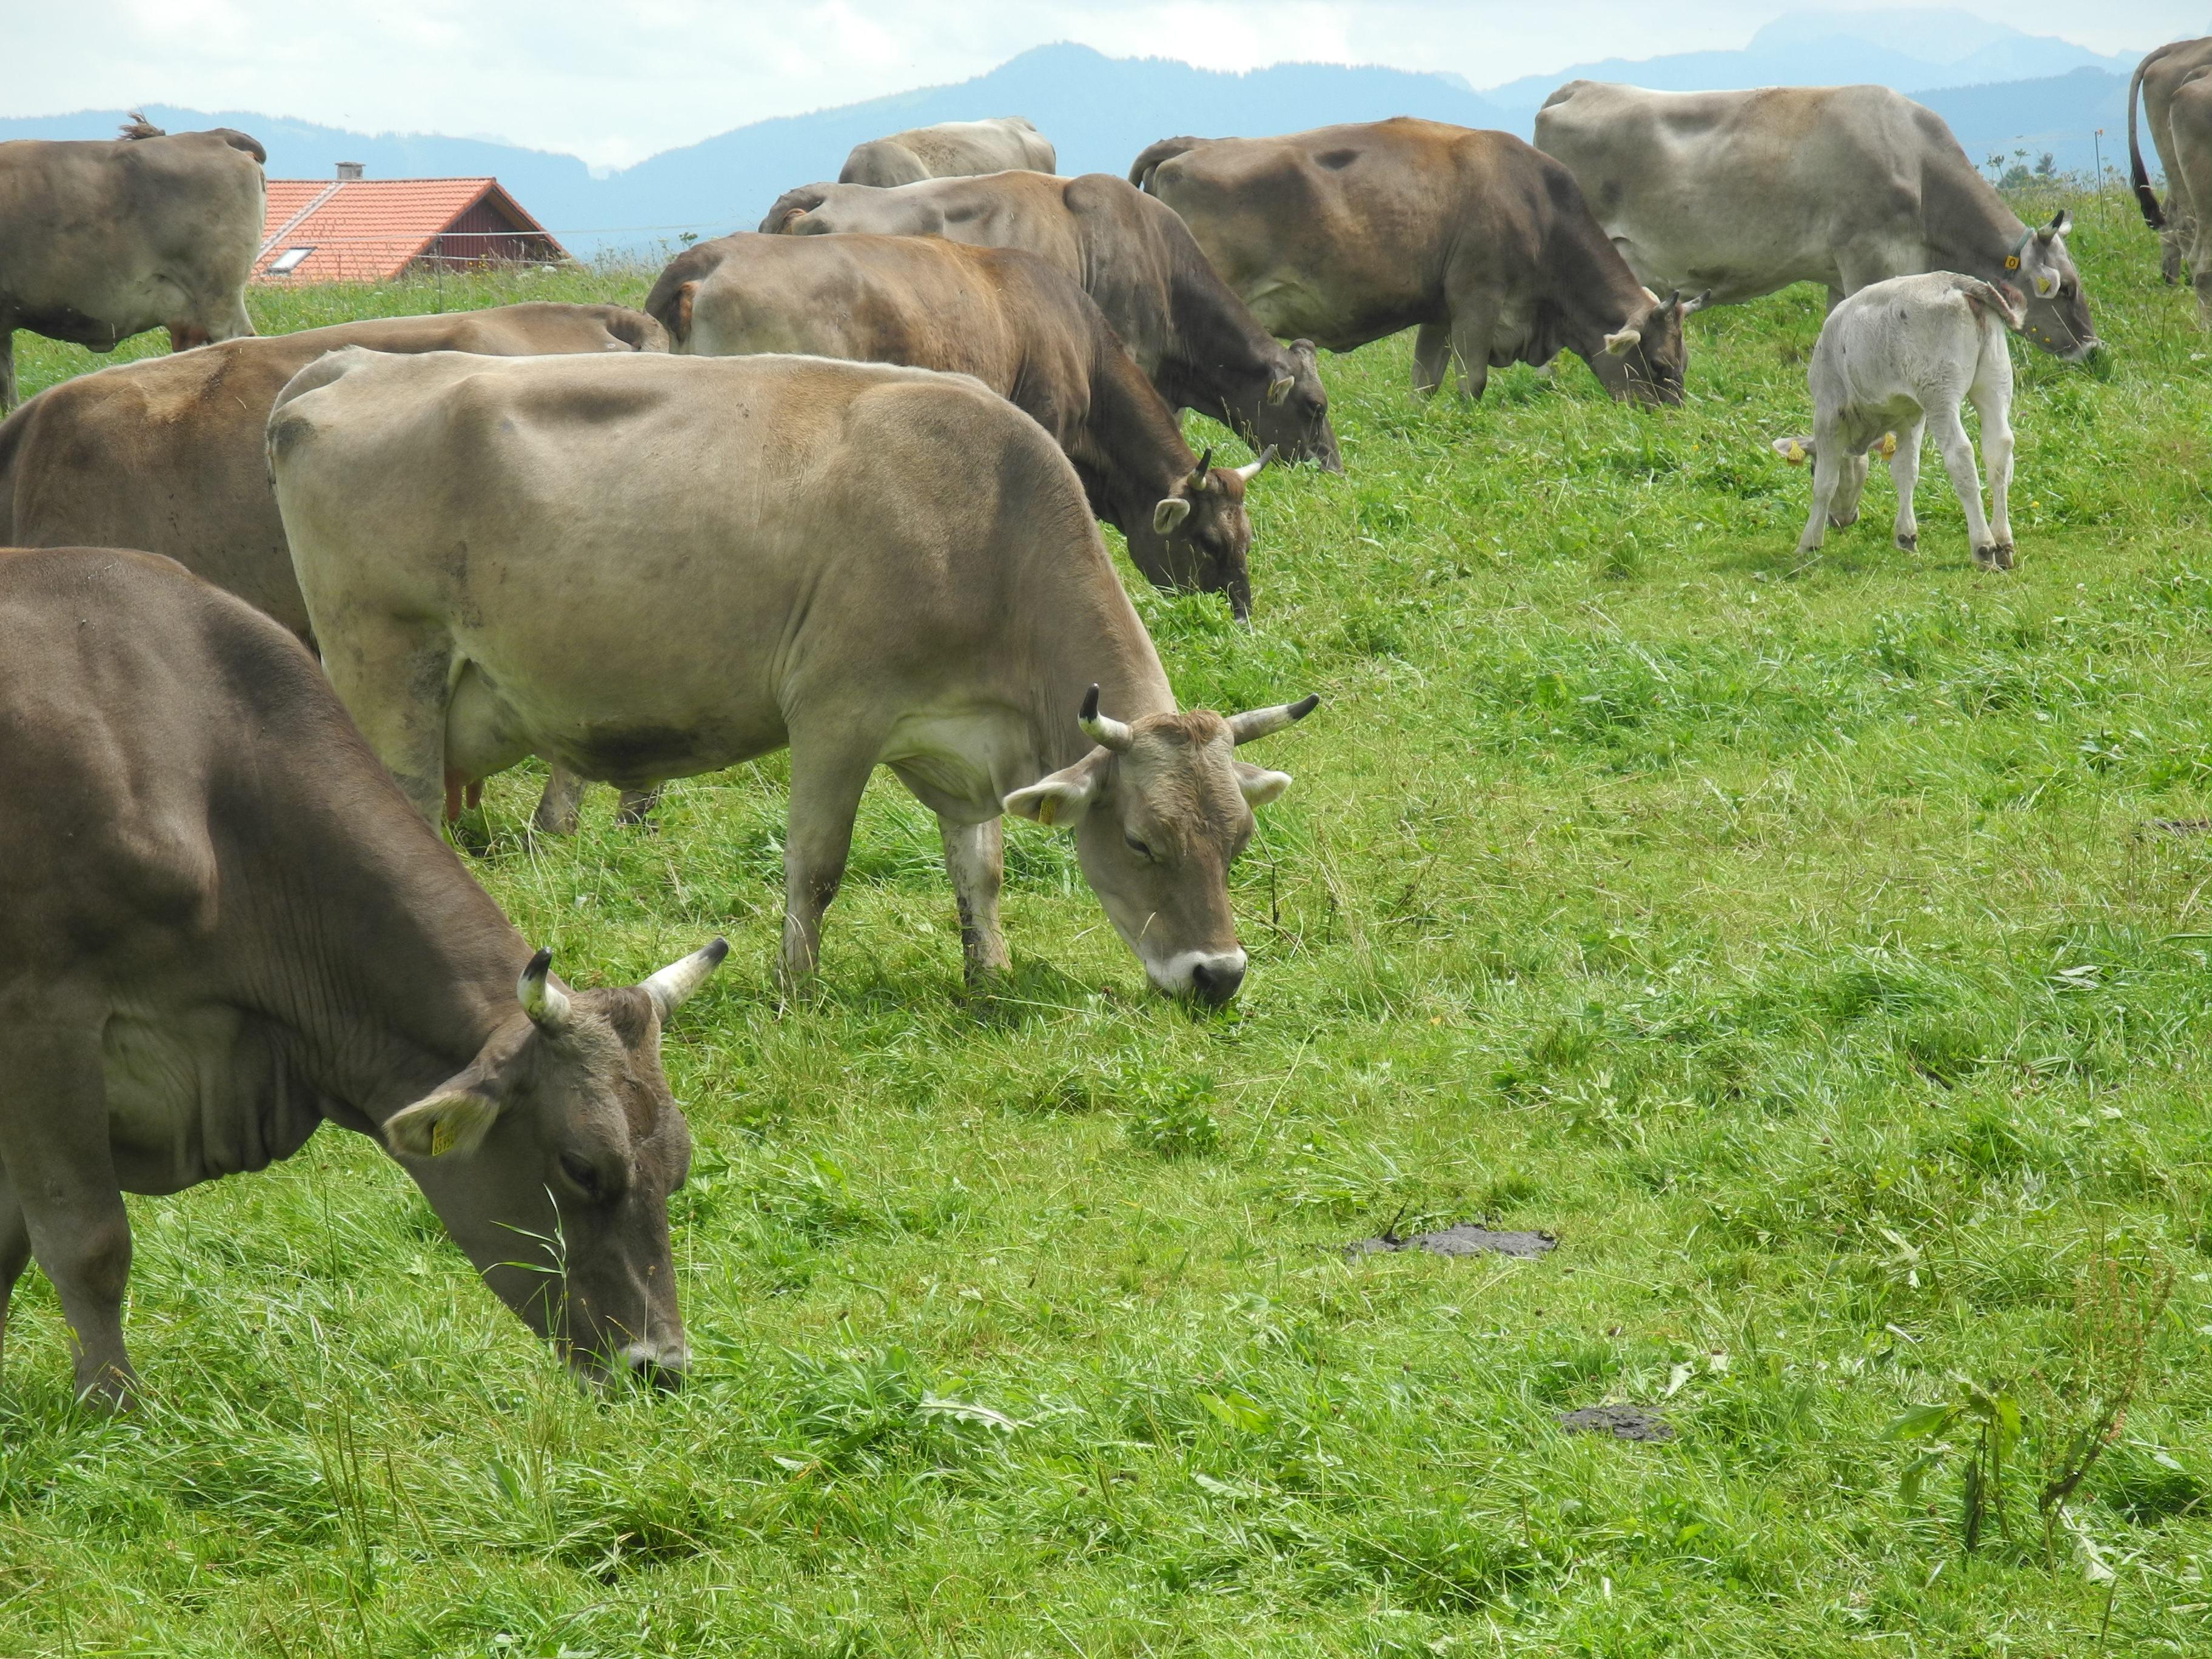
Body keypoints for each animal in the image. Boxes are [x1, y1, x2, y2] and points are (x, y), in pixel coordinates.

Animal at [0, 543, 726, 1406]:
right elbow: (87, 1242)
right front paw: (115, 1407)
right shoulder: (42, 1021)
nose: (661, 1368)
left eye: (678, 1165)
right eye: (583, 1167)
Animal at [267, 350, 1319, 1004]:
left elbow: (978, 868)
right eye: (1141, 842)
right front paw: (795, 988)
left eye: (1238, 841)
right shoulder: (835, 715)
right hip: (388, 670)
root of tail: (357, 363)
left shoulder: (961, 745)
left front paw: (990, 972)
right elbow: (815, 865)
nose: (1218, 977)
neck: (983, 519)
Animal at [1128, 121, 1700, 404]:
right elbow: (1472, 382)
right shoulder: (1478, 299)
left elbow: (1424, 382)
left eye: (1684, 365)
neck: (1540, 208)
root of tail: (1190, 146)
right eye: (1661, 365)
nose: (1669, 423)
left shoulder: (1439, 312)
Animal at [1768, 272, 2019, 570]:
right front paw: (1906, 537)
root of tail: (1956, 281)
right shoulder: (1910, 415)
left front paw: (1809, 543)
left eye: (1810, 469)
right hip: (1995, 377)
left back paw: (1983, 547)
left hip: (1939, 390)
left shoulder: (1829, 412)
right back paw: (2003, 544)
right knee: (1999, 450)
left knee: (1961, 454)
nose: (1842, 520)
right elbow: (1905, 471)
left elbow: (1825, 484)